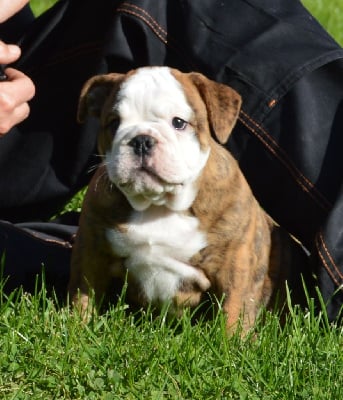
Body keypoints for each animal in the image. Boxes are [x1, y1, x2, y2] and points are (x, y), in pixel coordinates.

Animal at [68, 67, 310, 332]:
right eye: (114, 123)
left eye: (178, 123)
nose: (141, 140)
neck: (158, 205)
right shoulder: (91, 252)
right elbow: (82, 295)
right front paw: (76, 328)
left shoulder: (235, 264)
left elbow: (233, 309)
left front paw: (230, 341)